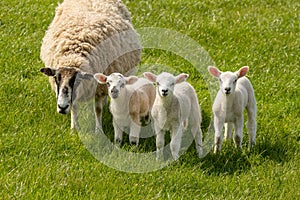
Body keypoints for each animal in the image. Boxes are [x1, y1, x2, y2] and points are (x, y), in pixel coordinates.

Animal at [39, 0, 141, 130]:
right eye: (56, 79)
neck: (74, 54)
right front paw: (74, 128)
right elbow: (74, 107)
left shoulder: (99, 88)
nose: (62, 107)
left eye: (77, 80)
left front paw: (98, 130)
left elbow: (98, 110)